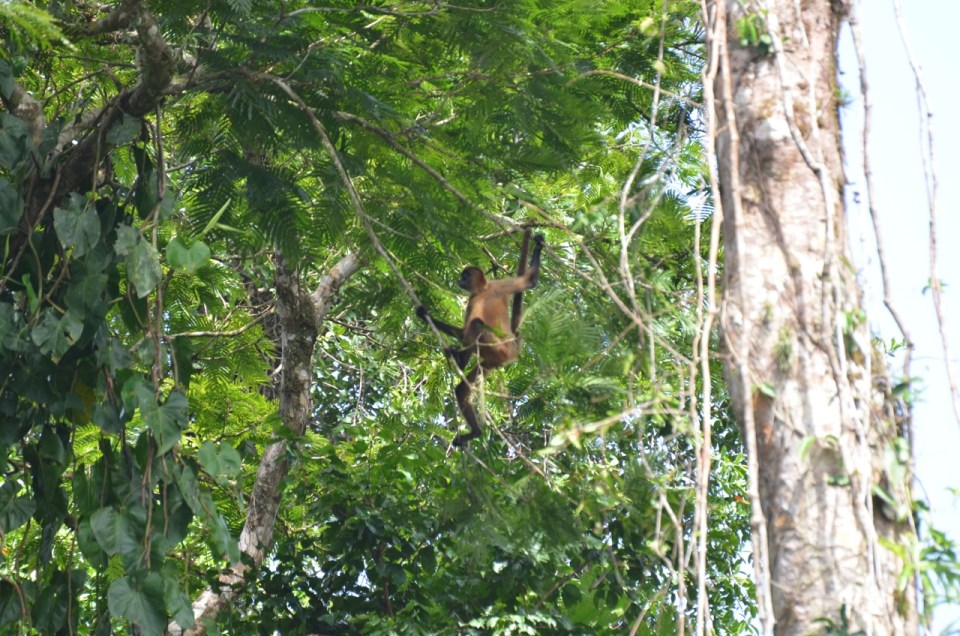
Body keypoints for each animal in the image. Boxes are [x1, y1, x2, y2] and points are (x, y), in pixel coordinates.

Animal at [417, 230, 545, 446]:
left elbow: (529, 281)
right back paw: (475, 431)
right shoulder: (472, 300)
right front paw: (425, 315)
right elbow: (463, 331)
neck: (483, 291)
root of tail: (512, 350)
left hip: (498, 347)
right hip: (490, 361)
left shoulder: (499, 284)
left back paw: (459, 361)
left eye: (465, 276)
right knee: (462, 388)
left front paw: (538, 246)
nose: (460, 280)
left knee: (476, 325)